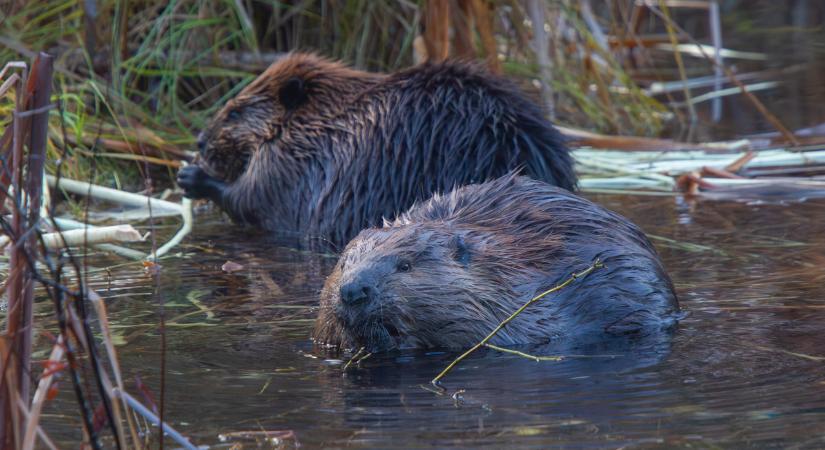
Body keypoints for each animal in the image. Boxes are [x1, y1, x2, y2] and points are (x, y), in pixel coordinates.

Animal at [175, 55, 572, 250]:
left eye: (234, 112)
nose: (200, 140)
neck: (327, 120)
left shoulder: (285, 161)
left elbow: (252, 202)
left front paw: (191, 176)